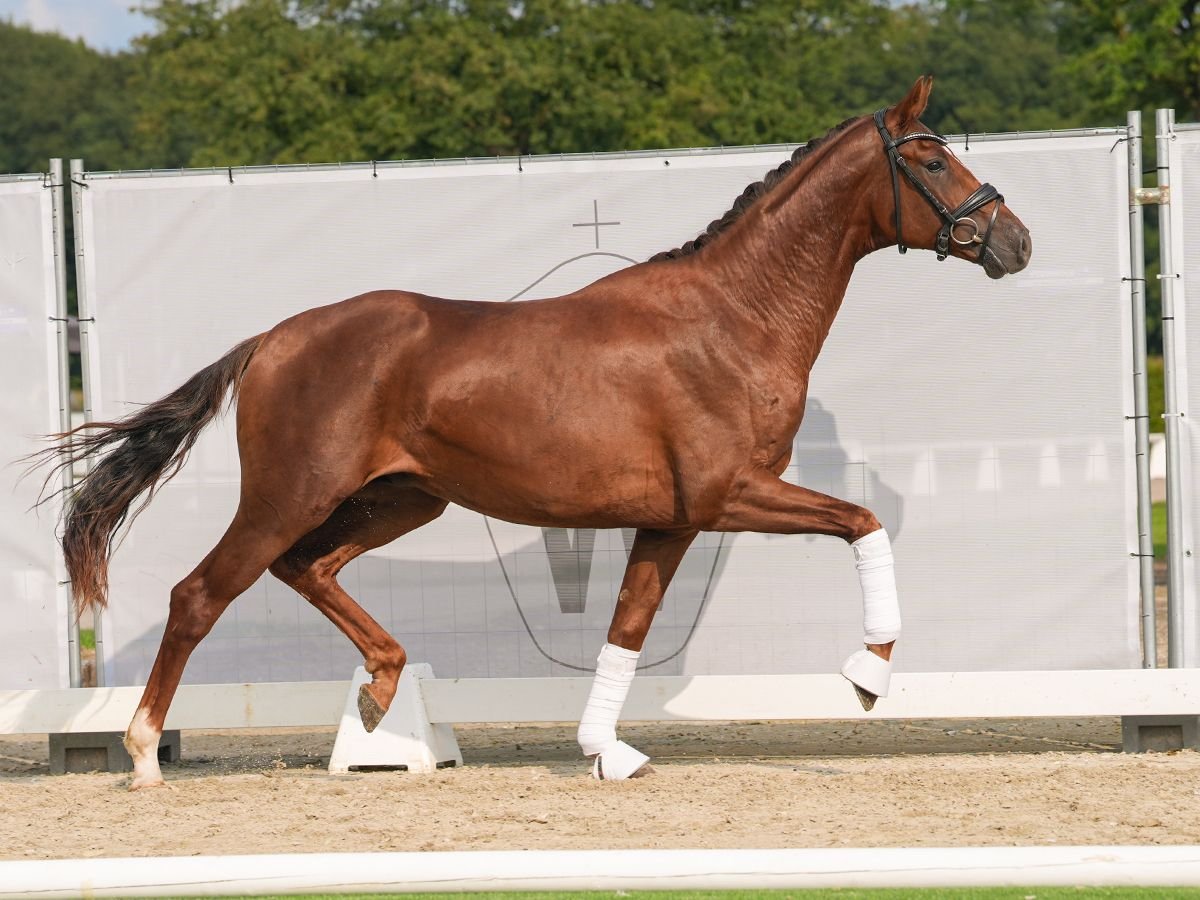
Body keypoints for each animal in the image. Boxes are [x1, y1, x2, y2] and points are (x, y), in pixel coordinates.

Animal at [37, 81, 1032, 792]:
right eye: (931, 160)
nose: (1015, 242)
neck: (732, 318)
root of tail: (273, 339)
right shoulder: (731, 494)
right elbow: (864, 522)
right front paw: (869, 675)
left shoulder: (672, 519)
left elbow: (628, 627)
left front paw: (607, 752)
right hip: (291, 495)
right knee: (200, 594)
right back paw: (145, 754)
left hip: (404, 500)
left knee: (306, 569)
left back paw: (383, 688)